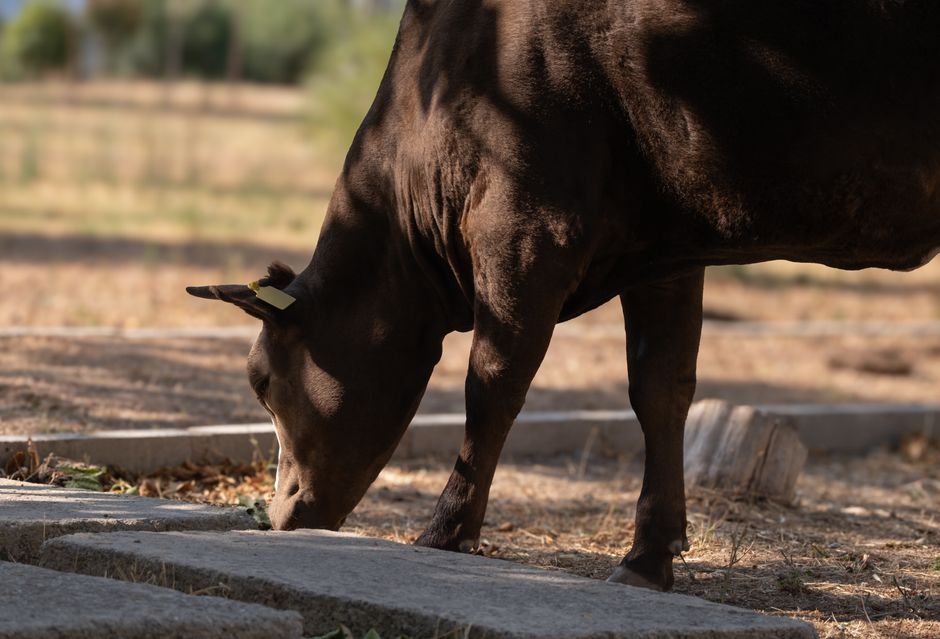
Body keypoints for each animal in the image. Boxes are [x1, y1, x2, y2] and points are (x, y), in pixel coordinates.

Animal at [187, 0, 940, 592]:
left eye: (263, 382)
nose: (281, 516)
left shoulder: (526, 226)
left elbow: (492, 384)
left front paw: (446, 531)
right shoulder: (666, 244)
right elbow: (660, 387)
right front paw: (647, 557)